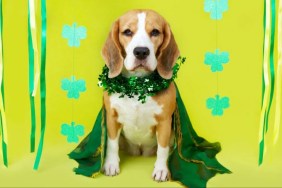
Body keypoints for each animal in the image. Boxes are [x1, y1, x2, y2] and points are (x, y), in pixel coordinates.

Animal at [102, 9, 178, 182]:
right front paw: (111, 164)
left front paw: (161, 170)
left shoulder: (164, 121)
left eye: (155, 32)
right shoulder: (111, 117)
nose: (141, 51)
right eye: (127, 32)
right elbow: (112, 143)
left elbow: (162, 149)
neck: (137, 87)